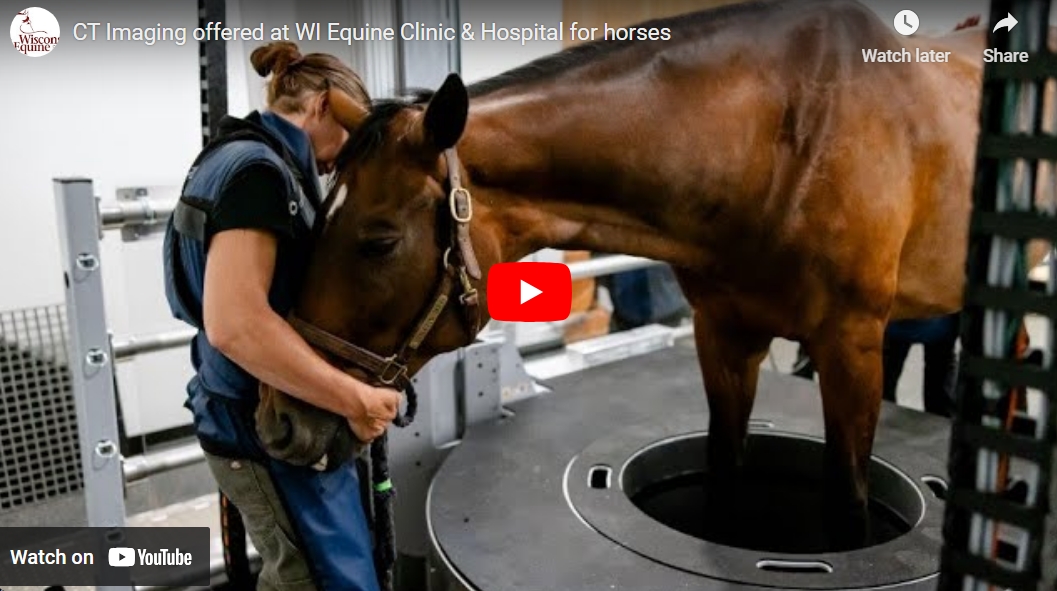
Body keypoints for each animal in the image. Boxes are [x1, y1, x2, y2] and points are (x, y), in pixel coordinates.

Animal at [255, 0, 1053, 546]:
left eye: (379, 240)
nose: (281, 421)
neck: (786, 138)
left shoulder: (852, 347)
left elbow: (848, 504)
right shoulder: (723, 336)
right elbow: (724, 474)